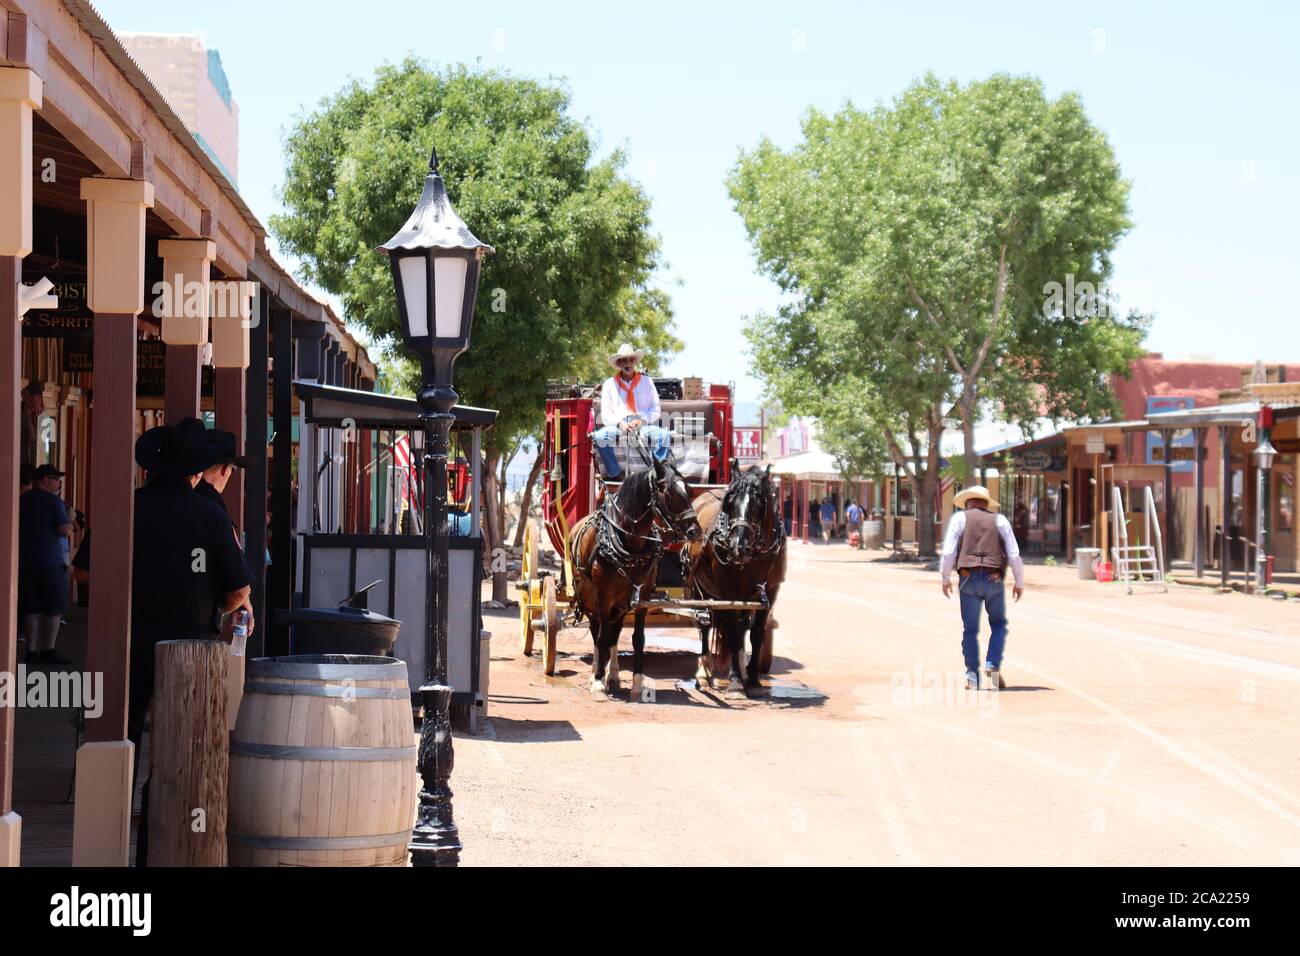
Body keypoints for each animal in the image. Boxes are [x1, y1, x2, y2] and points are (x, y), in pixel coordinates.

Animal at [569, 460, 702, 697]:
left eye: (689, 490)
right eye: (668, 493)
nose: (695, 531)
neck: (629, 544)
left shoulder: (642, 597)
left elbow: (637, 638)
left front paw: (637, 681)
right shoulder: (603, 596)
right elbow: (601, 637)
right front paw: (597, 680)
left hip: (620, 604)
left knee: (614, 633)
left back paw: (612, 674)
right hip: (588, 598)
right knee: (597, 631)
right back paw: (596, 672)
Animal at [686, 463, 785, 697]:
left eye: (759, 504)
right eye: (729, 502)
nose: (738, 547)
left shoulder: (769, 593)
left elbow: (756, 634)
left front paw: (754, 679)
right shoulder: (729, 593)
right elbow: (733, 635)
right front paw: (736, 682)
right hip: (698, 589)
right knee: (705, 625)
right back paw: (704, 672)